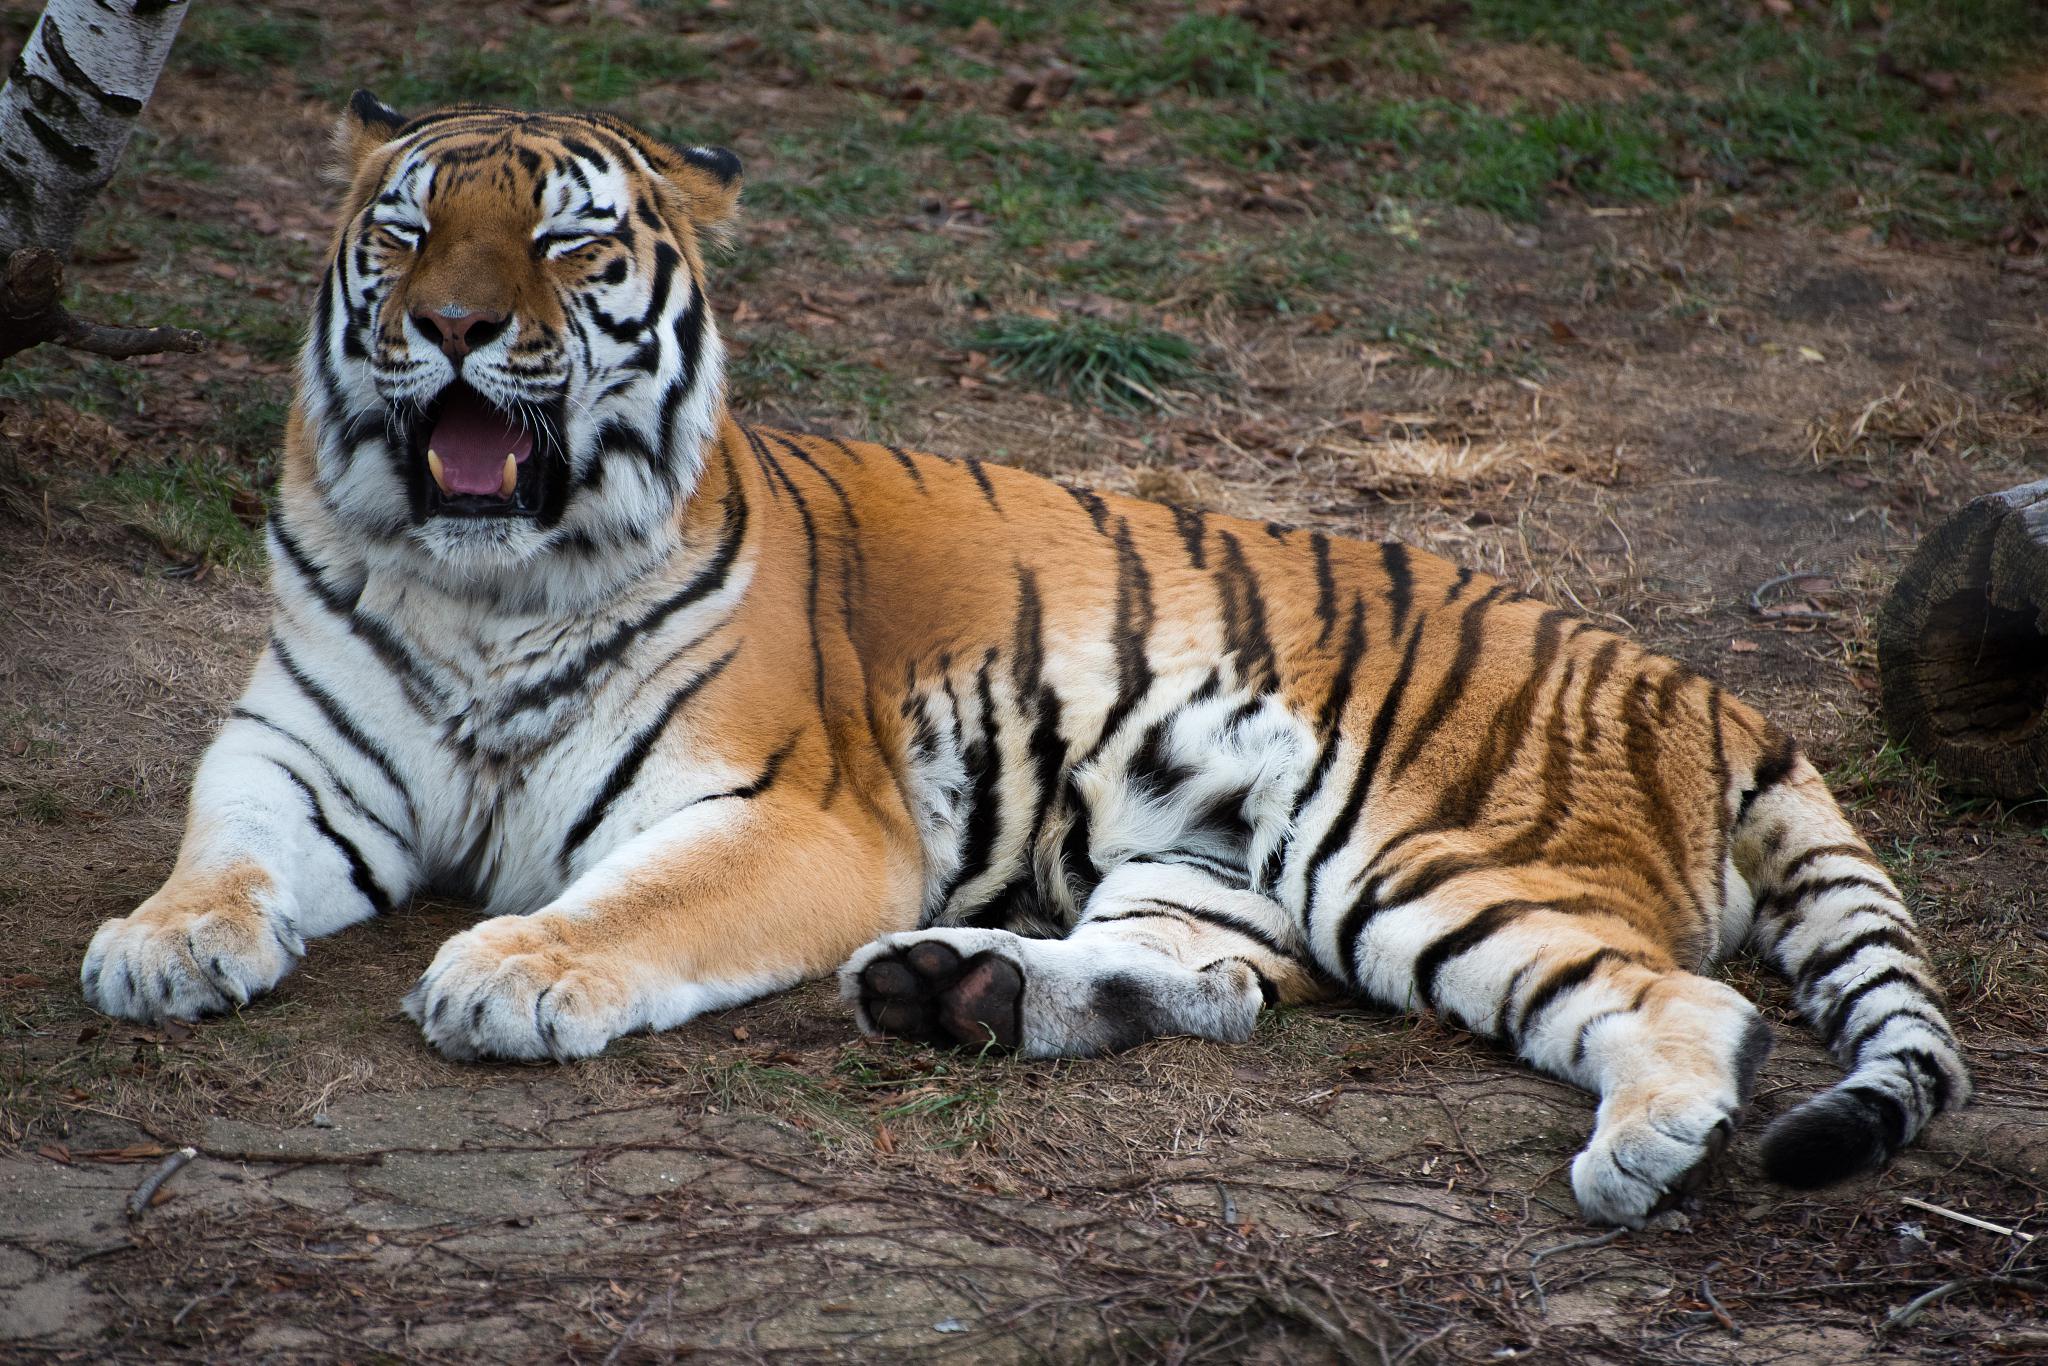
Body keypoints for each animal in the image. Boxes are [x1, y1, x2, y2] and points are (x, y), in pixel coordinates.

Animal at [83, 93, 1966, 1228]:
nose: (457, 328)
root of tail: (1697, 683)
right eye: (406, 234)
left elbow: (629, 903)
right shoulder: (295, 753)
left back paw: (1645, 1147)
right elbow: (220, 854)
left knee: (1692, 1002)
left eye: (563, 242)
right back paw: (958, 992)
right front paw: (157, 951)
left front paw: (511, 971)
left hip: (1419, 857)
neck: (483, 582)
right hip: (1215, 863)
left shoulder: (793, 812)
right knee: (1218, 989)